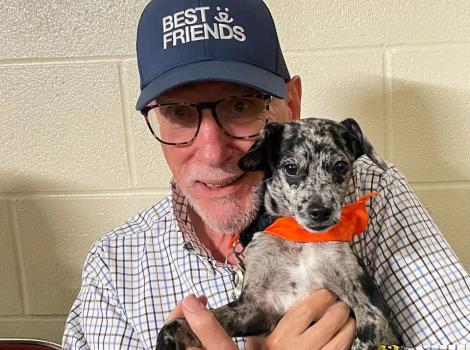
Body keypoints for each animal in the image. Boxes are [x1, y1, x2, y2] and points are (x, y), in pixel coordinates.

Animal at [159, 117, 400, 350]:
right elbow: (174, 324)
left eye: (340, 166)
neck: (300, 239)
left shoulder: (372, 308)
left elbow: (362, 341)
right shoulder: (257, 306)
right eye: (291, 168)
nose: (320, 211)